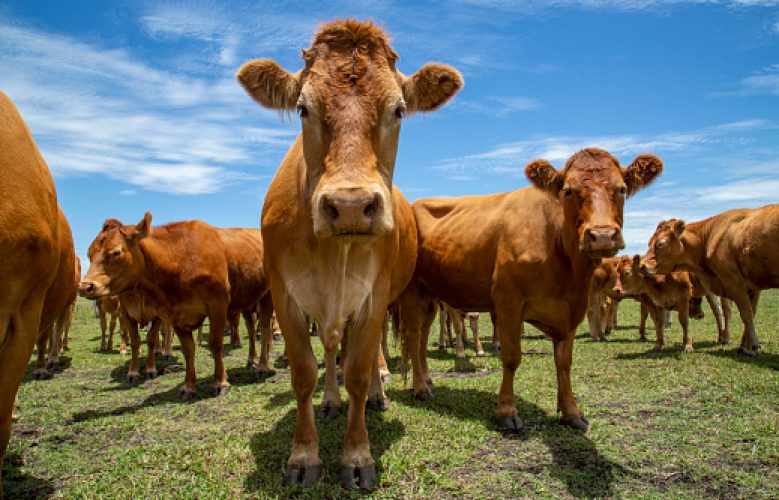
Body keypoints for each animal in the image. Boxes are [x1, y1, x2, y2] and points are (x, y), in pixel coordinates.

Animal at [80, 214, 232, 399]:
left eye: (116, 252)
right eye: (89, 254)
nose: (85, 286)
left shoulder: (162, 314)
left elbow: (153, 339)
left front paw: (150, 369)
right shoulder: (128, 313)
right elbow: (137, 341)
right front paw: (133, 372)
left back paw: (166, 351)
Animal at [236, 19, 462, 489]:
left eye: (398, 110)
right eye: (303, 108)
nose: (352, 205)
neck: (333, 256)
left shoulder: (374, 296)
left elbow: (357, 371)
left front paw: (357, 456)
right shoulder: (285, 296)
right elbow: (304, 374)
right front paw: (304, 455)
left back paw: (379, 392)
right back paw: (330, 401)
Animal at [398, 148, 662, 434]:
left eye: (622, 189)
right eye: (568, 190)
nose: (602, 235)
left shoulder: (571, 309)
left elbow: (564, 362)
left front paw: (571, 412)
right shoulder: (508, 303)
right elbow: (512, 357)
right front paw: (506, 411)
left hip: (430, 293)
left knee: (423, 335)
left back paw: (426, 379)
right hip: (411, 290)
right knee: (413, 335)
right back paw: (420, 387)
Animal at [640, 207, 779, 355]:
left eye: (661, 243)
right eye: (649, 242)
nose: (642, 266)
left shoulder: (734, 282)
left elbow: (746, 314)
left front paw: (752, 346)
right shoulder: (751, 287)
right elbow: (751, 313)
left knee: (724, 311)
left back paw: (726, 338)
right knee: (719, 312)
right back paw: (723, 338)